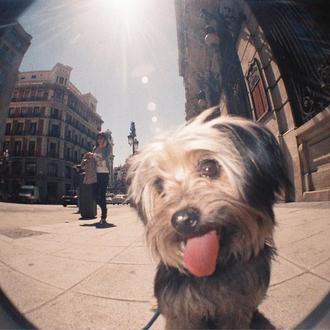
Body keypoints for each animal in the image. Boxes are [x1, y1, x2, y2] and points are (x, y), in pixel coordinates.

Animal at [126, 108, 288, 330]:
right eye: (159, 185)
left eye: (209, 167)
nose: (183, 220)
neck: (215, 269)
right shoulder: (181, 313)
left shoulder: (239, 309)